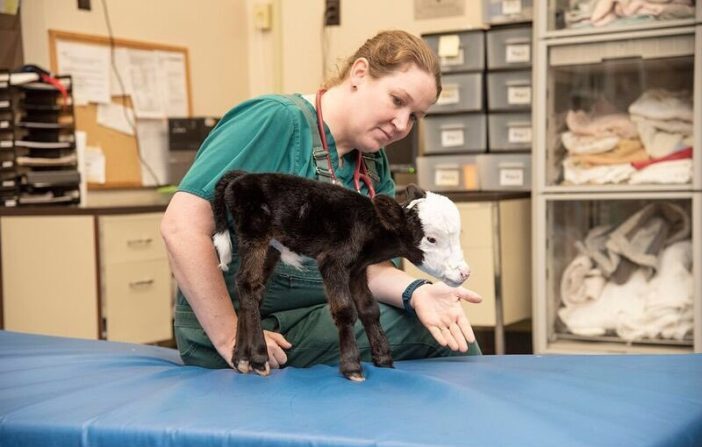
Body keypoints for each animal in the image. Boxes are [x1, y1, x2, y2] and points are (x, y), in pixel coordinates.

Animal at [212, 171, 470, 382]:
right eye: (431, 239)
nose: (465, 272)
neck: (368, 229)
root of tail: (241, 177)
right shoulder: (333, 261)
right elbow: (346, 310)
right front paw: (352, 367)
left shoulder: (357, 269)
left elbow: (369, 309)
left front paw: (384, 359)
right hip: (254, 231)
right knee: (249, 284)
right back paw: (258, 357)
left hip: (271, 246)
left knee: (249, 290)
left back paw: (240, 359)